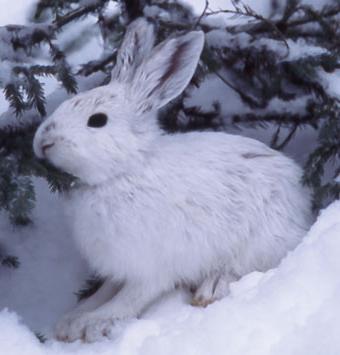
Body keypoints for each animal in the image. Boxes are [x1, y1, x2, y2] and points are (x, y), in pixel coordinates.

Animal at [33, 18, 312, 344]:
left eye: (97, 120)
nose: (43, 143)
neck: (124, 171)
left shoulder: (150, 266)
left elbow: (130, 298)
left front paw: (92, 323)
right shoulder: (118, 266)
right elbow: (107, 290)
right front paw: (71, 320)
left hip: (261, 240)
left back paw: (212, 287)